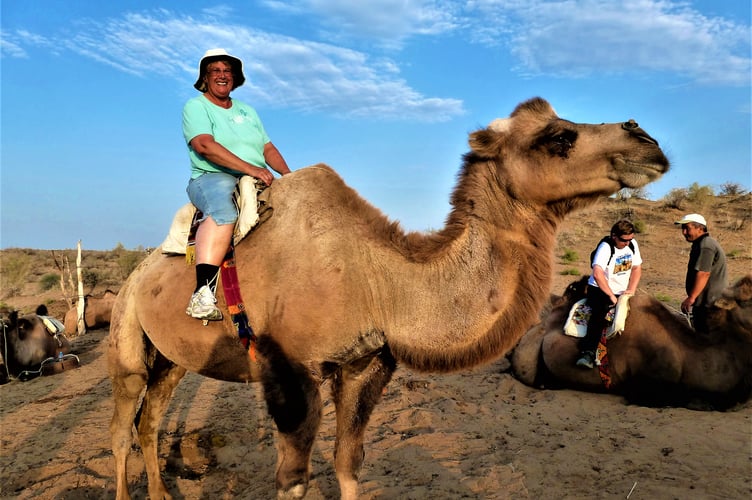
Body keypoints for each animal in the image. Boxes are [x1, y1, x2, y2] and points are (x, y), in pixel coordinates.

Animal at [108, 97, 668, 500]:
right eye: (558, 136)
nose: (647, 139)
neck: (377, 280)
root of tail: (136, 274)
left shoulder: (367, 362)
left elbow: (348, 463)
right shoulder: (289, 368)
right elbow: (293, 480)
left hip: (175, 358)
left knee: (150, 420)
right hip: (126, 330)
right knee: (122, 424)